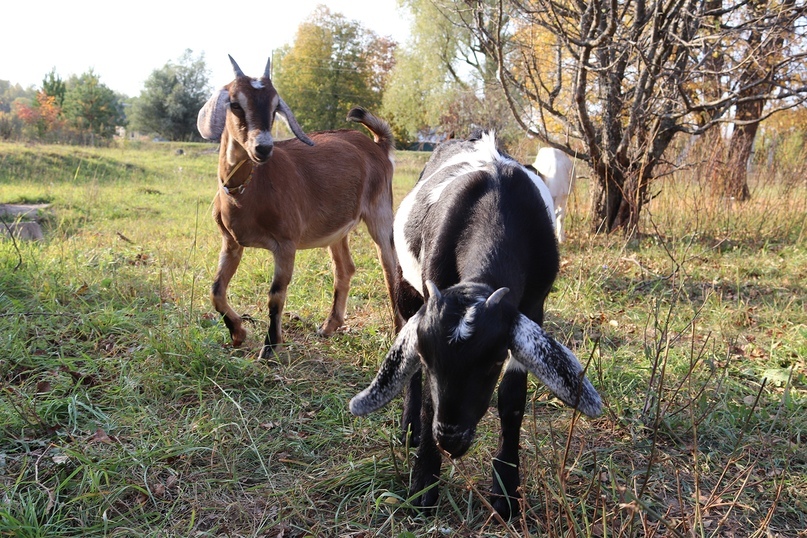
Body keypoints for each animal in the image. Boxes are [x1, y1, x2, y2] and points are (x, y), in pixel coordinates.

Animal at [196, 55, 404, 356]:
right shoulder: (231, 241)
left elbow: (275, 295)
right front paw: (238, 333)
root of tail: (378, 145)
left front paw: (269, 349)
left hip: (380, 211)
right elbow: (216, 290)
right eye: (235, 104)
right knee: (344, 268)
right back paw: (329, 326)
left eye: (275, 107)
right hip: (337, 227)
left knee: (390, 268)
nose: (263, 148)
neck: (248, 191)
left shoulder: (286, 243)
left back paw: (398, 330)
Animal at [350, 130, 604, 516]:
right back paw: (410, 427)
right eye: (427, 357)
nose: (450, 440)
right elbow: (429, 396)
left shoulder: (533, 306)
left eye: (493, 361)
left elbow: (512, 399)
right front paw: (424, 483)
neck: (496, 210)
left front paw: (507, 490)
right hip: (403, 281)